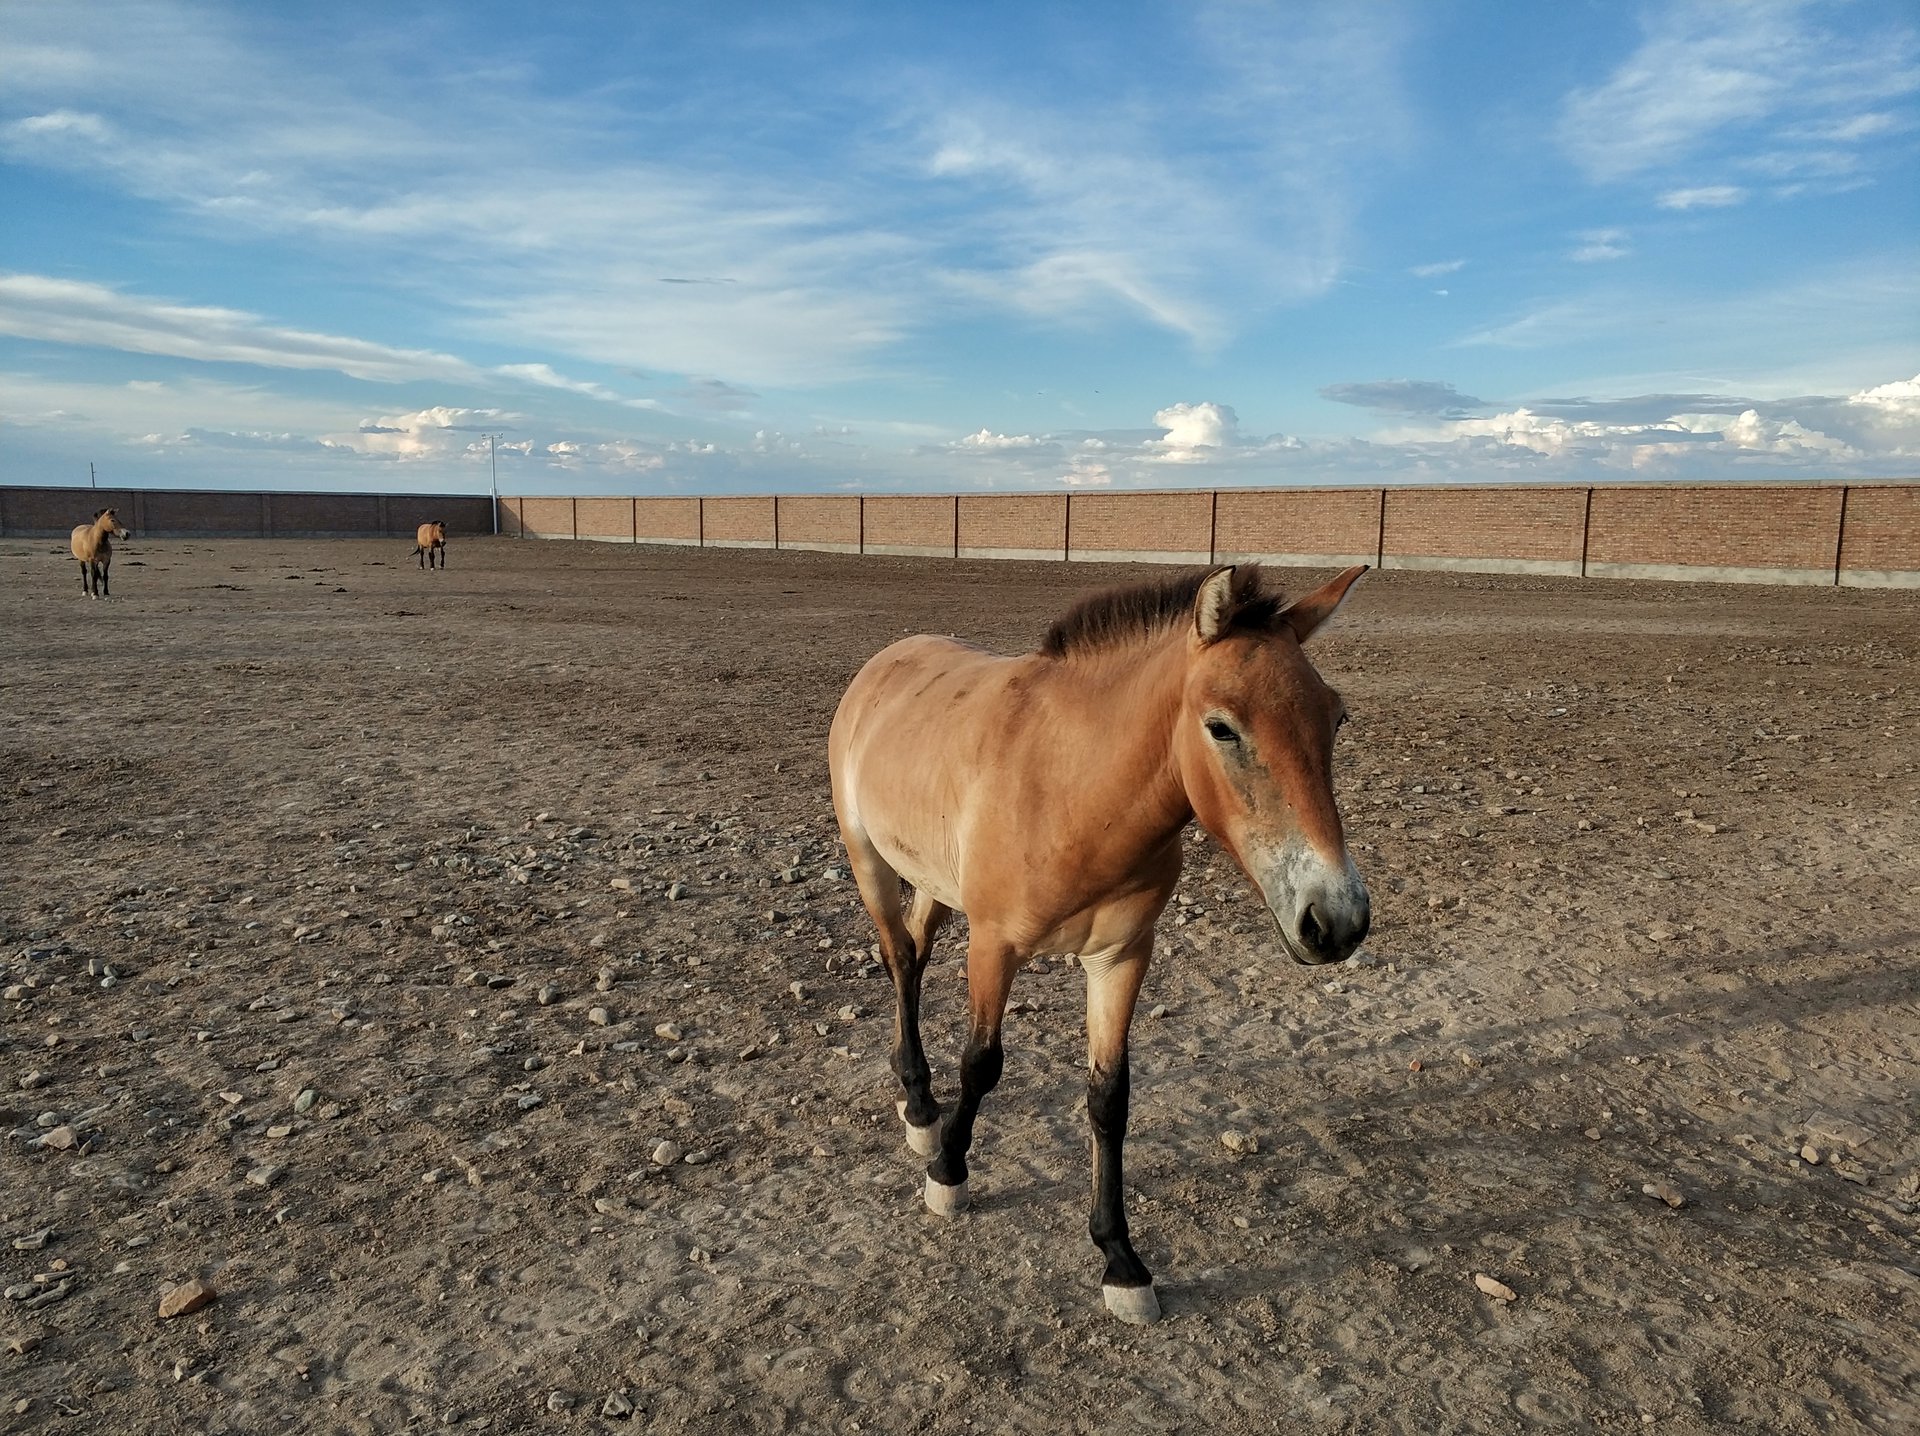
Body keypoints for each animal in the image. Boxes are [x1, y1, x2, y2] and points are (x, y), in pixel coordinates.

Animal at [825, 560, 1367, 1320]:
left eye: (1336, 717)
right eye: (1222, 728)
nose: (1337, 919)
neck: (1072, 790)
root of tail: (888, 659)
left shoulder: (1121, 957)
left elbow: (1110, 1096)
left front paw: (1120, 1259)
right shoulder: (995, 946)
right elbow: (981, 1064)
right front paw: (949, 1173)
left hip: (933, 879)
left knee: (917, 950)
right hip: (868, 858)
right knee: (900, 958)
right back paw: (922, 1107)